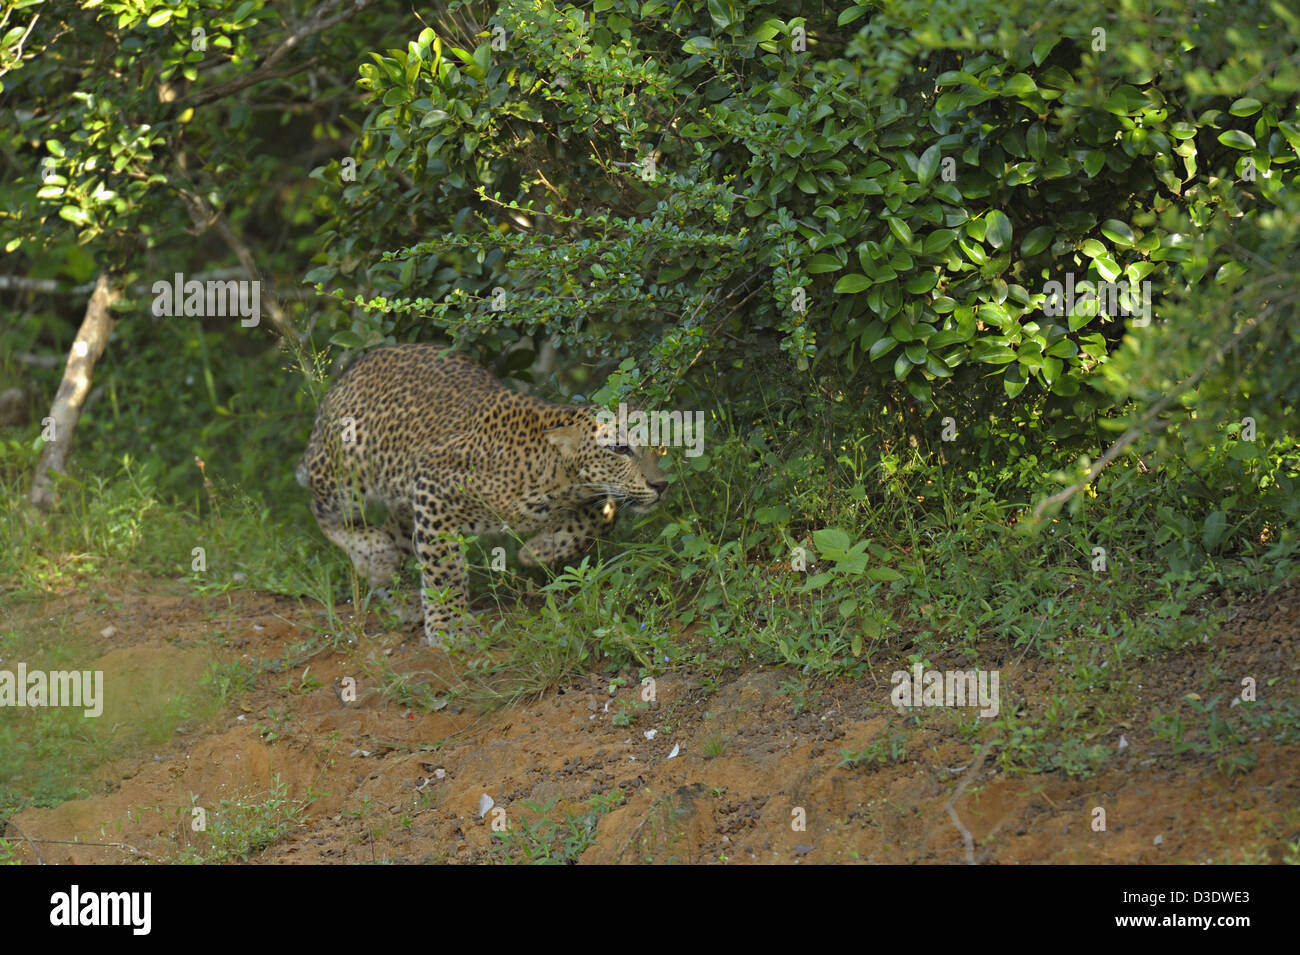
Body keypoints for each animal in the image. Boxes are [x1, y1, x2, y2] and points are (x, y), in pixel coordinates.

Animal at [296, 343, 668, 646]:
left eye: (660, 446)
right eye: (619, 448)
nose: (661, 485)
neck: (556, 476)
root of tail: (353, 370)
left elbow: (602, 515)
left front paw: (539, 551)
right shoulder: (433, 482)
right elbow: (442, 565)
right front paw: (450, 627)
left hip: (400, 503)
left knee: (394, 535)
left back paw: (399, 593)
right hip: (344, 473)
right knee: (324, 512)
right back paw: (373, 553)